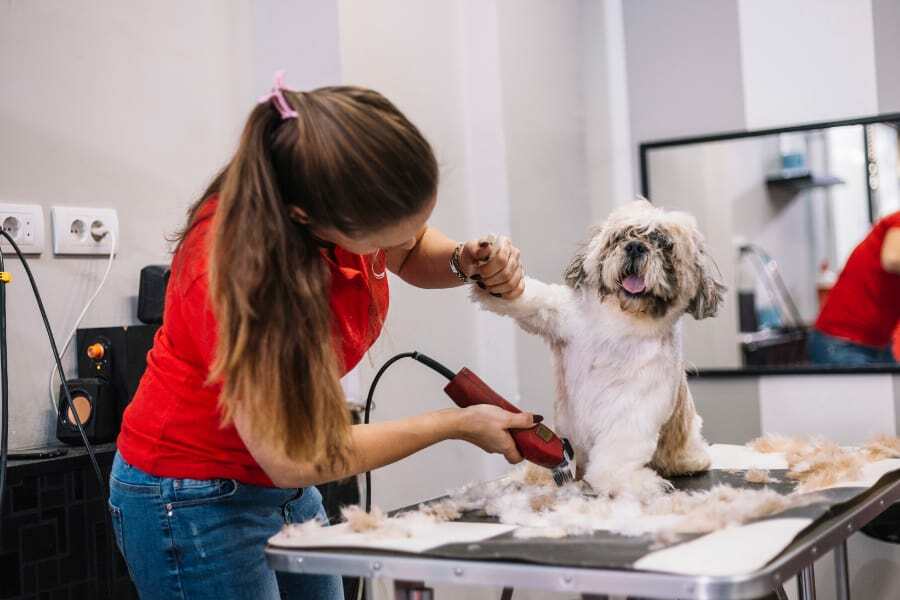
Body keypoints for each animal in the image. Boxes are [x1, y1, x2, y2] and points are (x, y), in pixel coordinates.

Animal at [474, 199, 728, 500]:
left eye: (664, 244)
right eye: (621, 237)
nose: (636, 247)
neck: (620, 324)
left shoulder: (637, 404)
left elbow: (618, 451)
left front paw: (629, 482)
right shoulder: (562, 318)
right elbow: (534, 301)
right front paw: (494, 267)